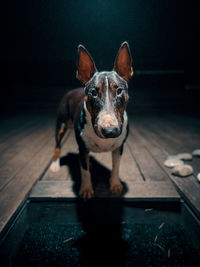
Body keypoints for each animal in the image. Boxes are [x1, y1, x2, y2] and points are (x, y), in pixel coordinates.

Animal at [50, 42, 133, 200]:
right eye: (93, 92)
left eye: (119, 90)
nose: (110, 131)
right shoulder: (82, 148)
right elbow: (84, 170)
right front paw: (86, 189)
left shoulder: (119, 148)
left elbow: (116, 166)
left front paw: (115, 184)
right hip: (61, 124)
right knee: (57, 145)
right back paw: (55, 164)